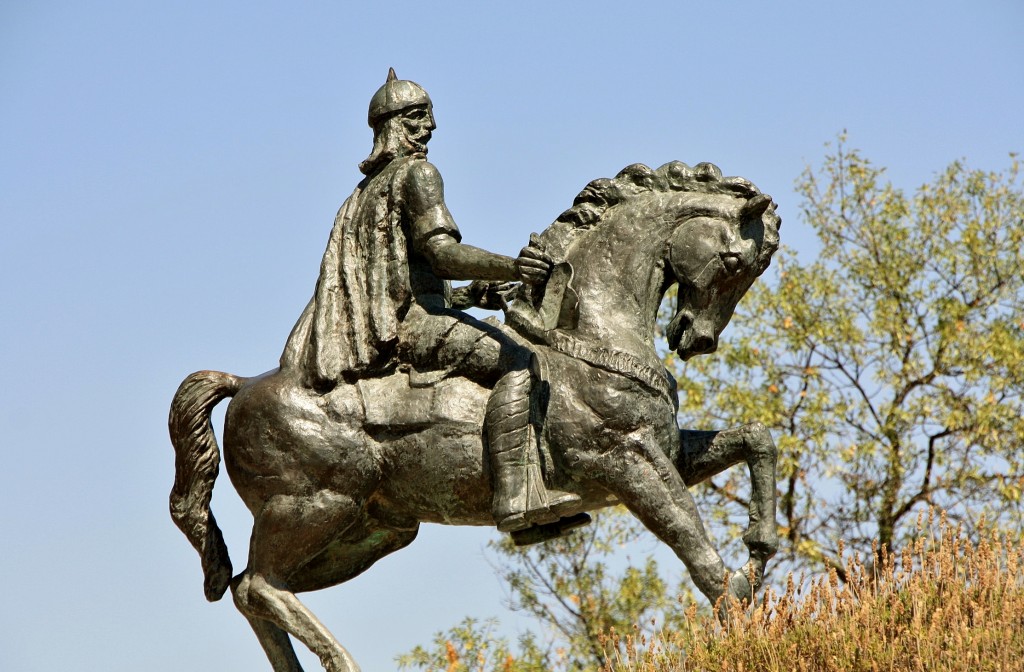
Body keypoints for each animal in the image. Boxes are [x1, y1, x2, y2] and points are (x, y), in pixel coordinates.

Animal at [172, 159, 782, 667]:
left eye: (756, 269)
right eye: (733, 260)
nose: (697, 339)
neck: (587, 336)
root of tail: (247, 385)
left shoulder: (667, 453)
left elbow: (757, 439)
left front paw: (760, 546)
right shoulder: (623, 459)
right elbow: (697, 549)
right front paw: (741, 616)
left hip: (371, 530)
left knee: (253, 591)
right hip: (312, 508)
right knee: (258, 586)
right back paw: (342, 661)